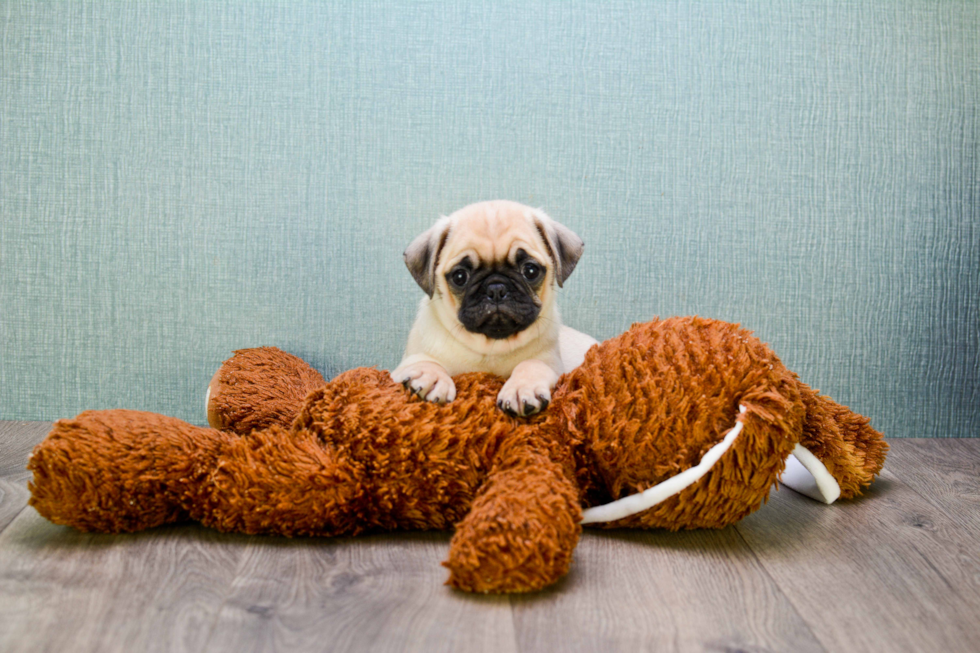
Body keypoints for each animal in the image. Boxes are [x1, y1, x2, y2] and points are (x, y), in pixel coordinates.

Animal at [390, 196, 596, 416]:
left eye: (530, 271)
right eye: (459, 277)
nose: (496, 288)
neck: (491, 347)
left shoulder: (552, 363)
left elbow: (532, 363)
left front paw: (522, 387)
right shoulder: (400, 367)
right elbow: (423, 360)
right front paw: (431, 376)